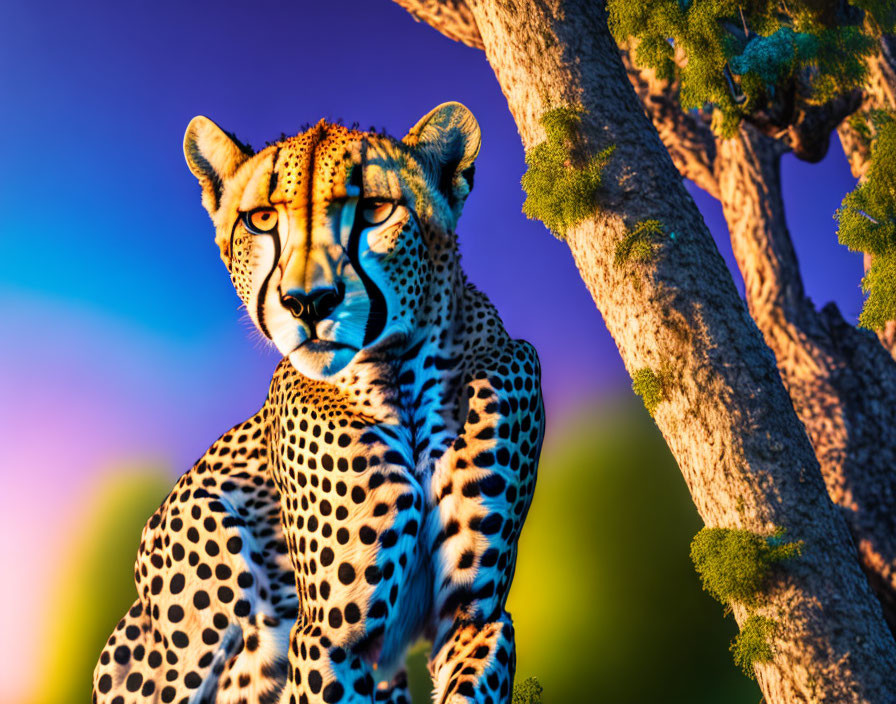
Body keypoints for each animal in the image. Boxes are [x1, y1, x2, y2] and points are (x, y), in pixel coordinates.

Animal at [96, 100, 544, 704]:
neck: (399, 377)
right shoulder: (330, 636)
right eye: (262, 219)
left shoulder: (477, 616)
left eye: (375, 209)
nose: (308, 302)